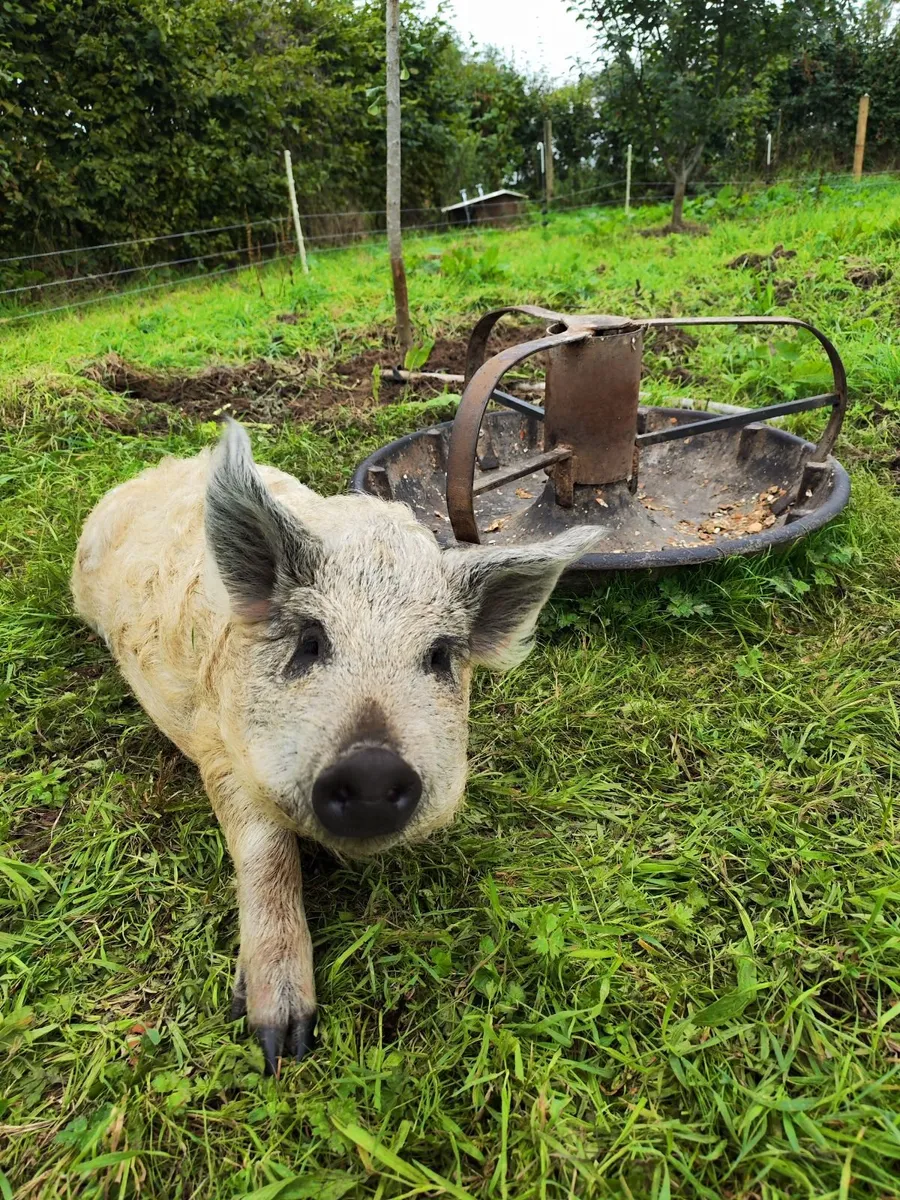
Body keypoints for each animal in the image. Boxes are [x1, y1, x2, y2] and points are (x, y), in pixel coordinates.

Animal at [71, 418, 598, 1074]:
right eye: (311, 641)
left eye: (439, 656)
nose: (371, 768)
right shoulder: (219, 746)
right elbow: (266, 851)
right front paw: (281, 1044)